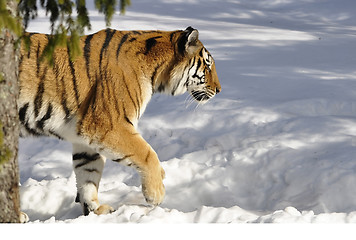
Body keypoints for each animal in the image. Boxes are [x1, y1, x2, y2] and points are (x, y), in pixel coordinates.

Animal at [18, 26, 221, 216]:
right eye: (208, 66)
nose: (219, 90)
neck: (155, 72)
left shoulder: (83, 138)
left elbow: (88, 174)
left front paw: (95, 211)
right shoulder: (109, 125)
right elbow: (147, 154)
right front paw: (156, 193)